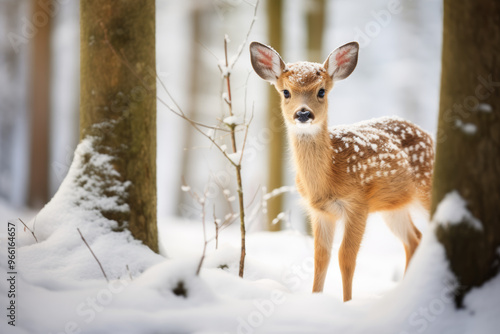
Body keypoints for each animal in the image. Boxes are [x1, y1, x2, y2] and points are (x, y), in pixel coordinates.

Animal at [250, 40, 434, 302]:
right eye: (286, 92)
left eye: (321, 91)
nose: (303, 113)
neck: (329, 177)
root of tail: (427, 134)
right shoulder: (320, 212)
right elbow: (320, 257)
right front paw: (316, 298)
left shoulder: (358, 203)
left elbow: (346, 257)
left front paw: (347, 303)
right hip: (393, 205)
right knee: (414, 239)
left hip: (426, 188)